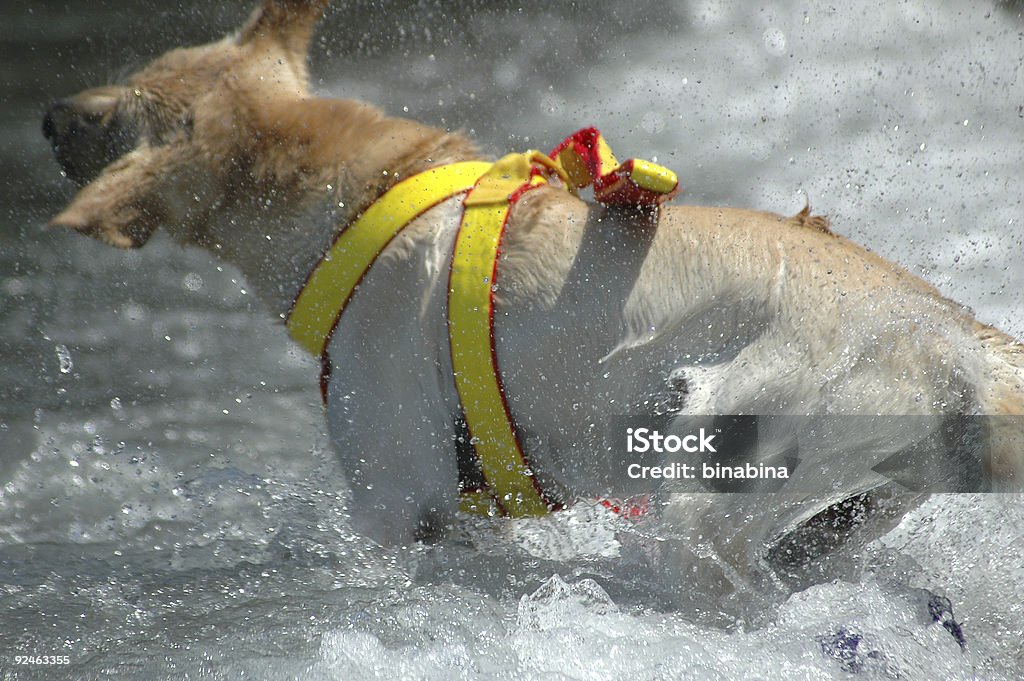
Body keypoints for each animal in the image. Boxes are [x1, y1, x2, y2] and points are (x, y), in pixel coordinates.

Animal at [39, 0, 1024, 593]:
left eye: (109, 116)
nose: (47, 116)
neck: (363, 202)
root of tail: (962, 343)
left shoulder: (396, 504)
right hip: (852, 501)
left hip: (710, 478)